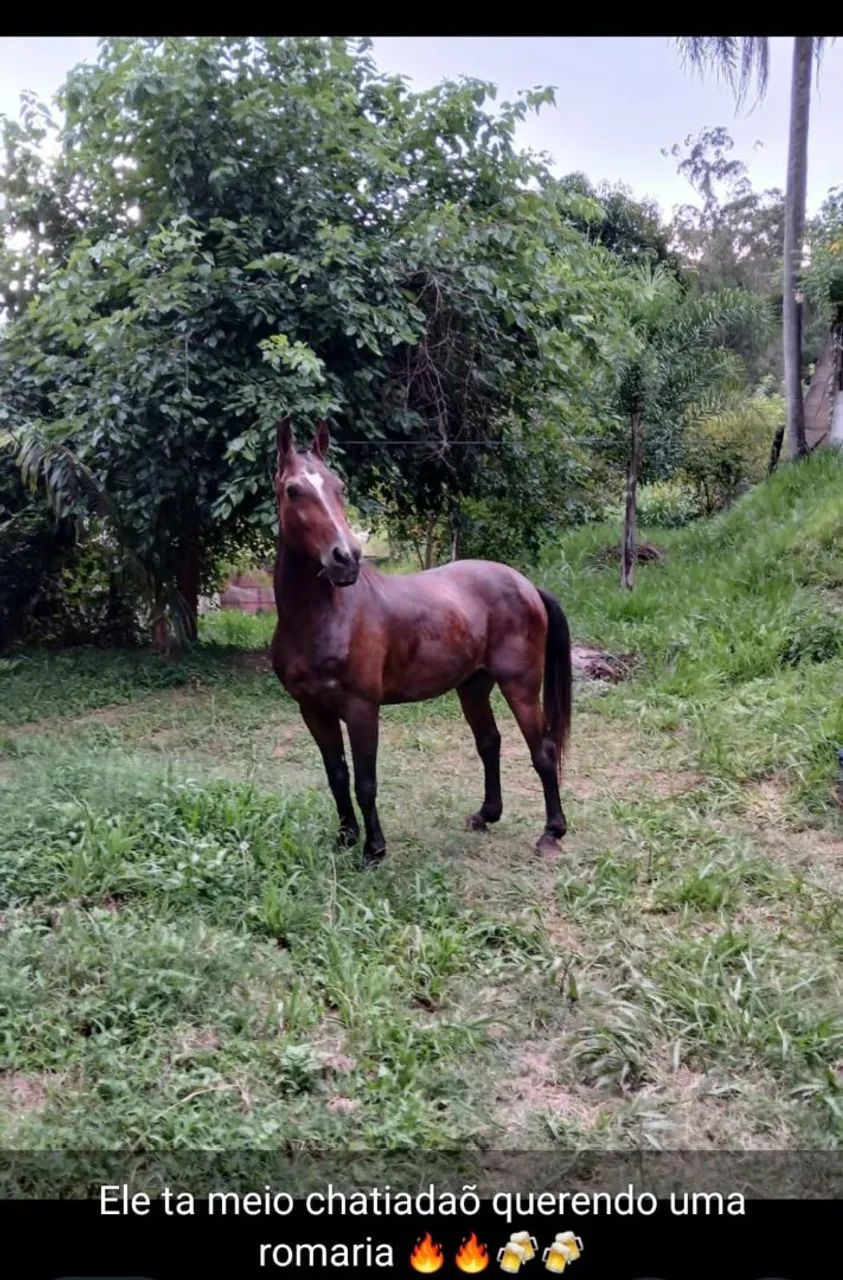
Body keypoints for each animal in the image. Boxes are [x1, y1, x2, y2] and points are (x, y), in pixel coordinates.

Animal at [270, 418, 572, 866]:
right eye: (293, 490)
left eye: (339, 486)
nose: (346, 558)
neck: (321, 618)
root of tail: (526, 585)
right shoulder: (313, 710)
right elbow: (337, 776)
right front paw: (345, 838)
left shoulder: (361, 708)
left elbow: (365, 782)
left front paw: (374, 849)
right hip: (473, 686)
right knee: (489, 743)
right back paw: (486, 814)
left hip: (519, 685)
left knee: (543, 751)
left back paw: (552, 832)